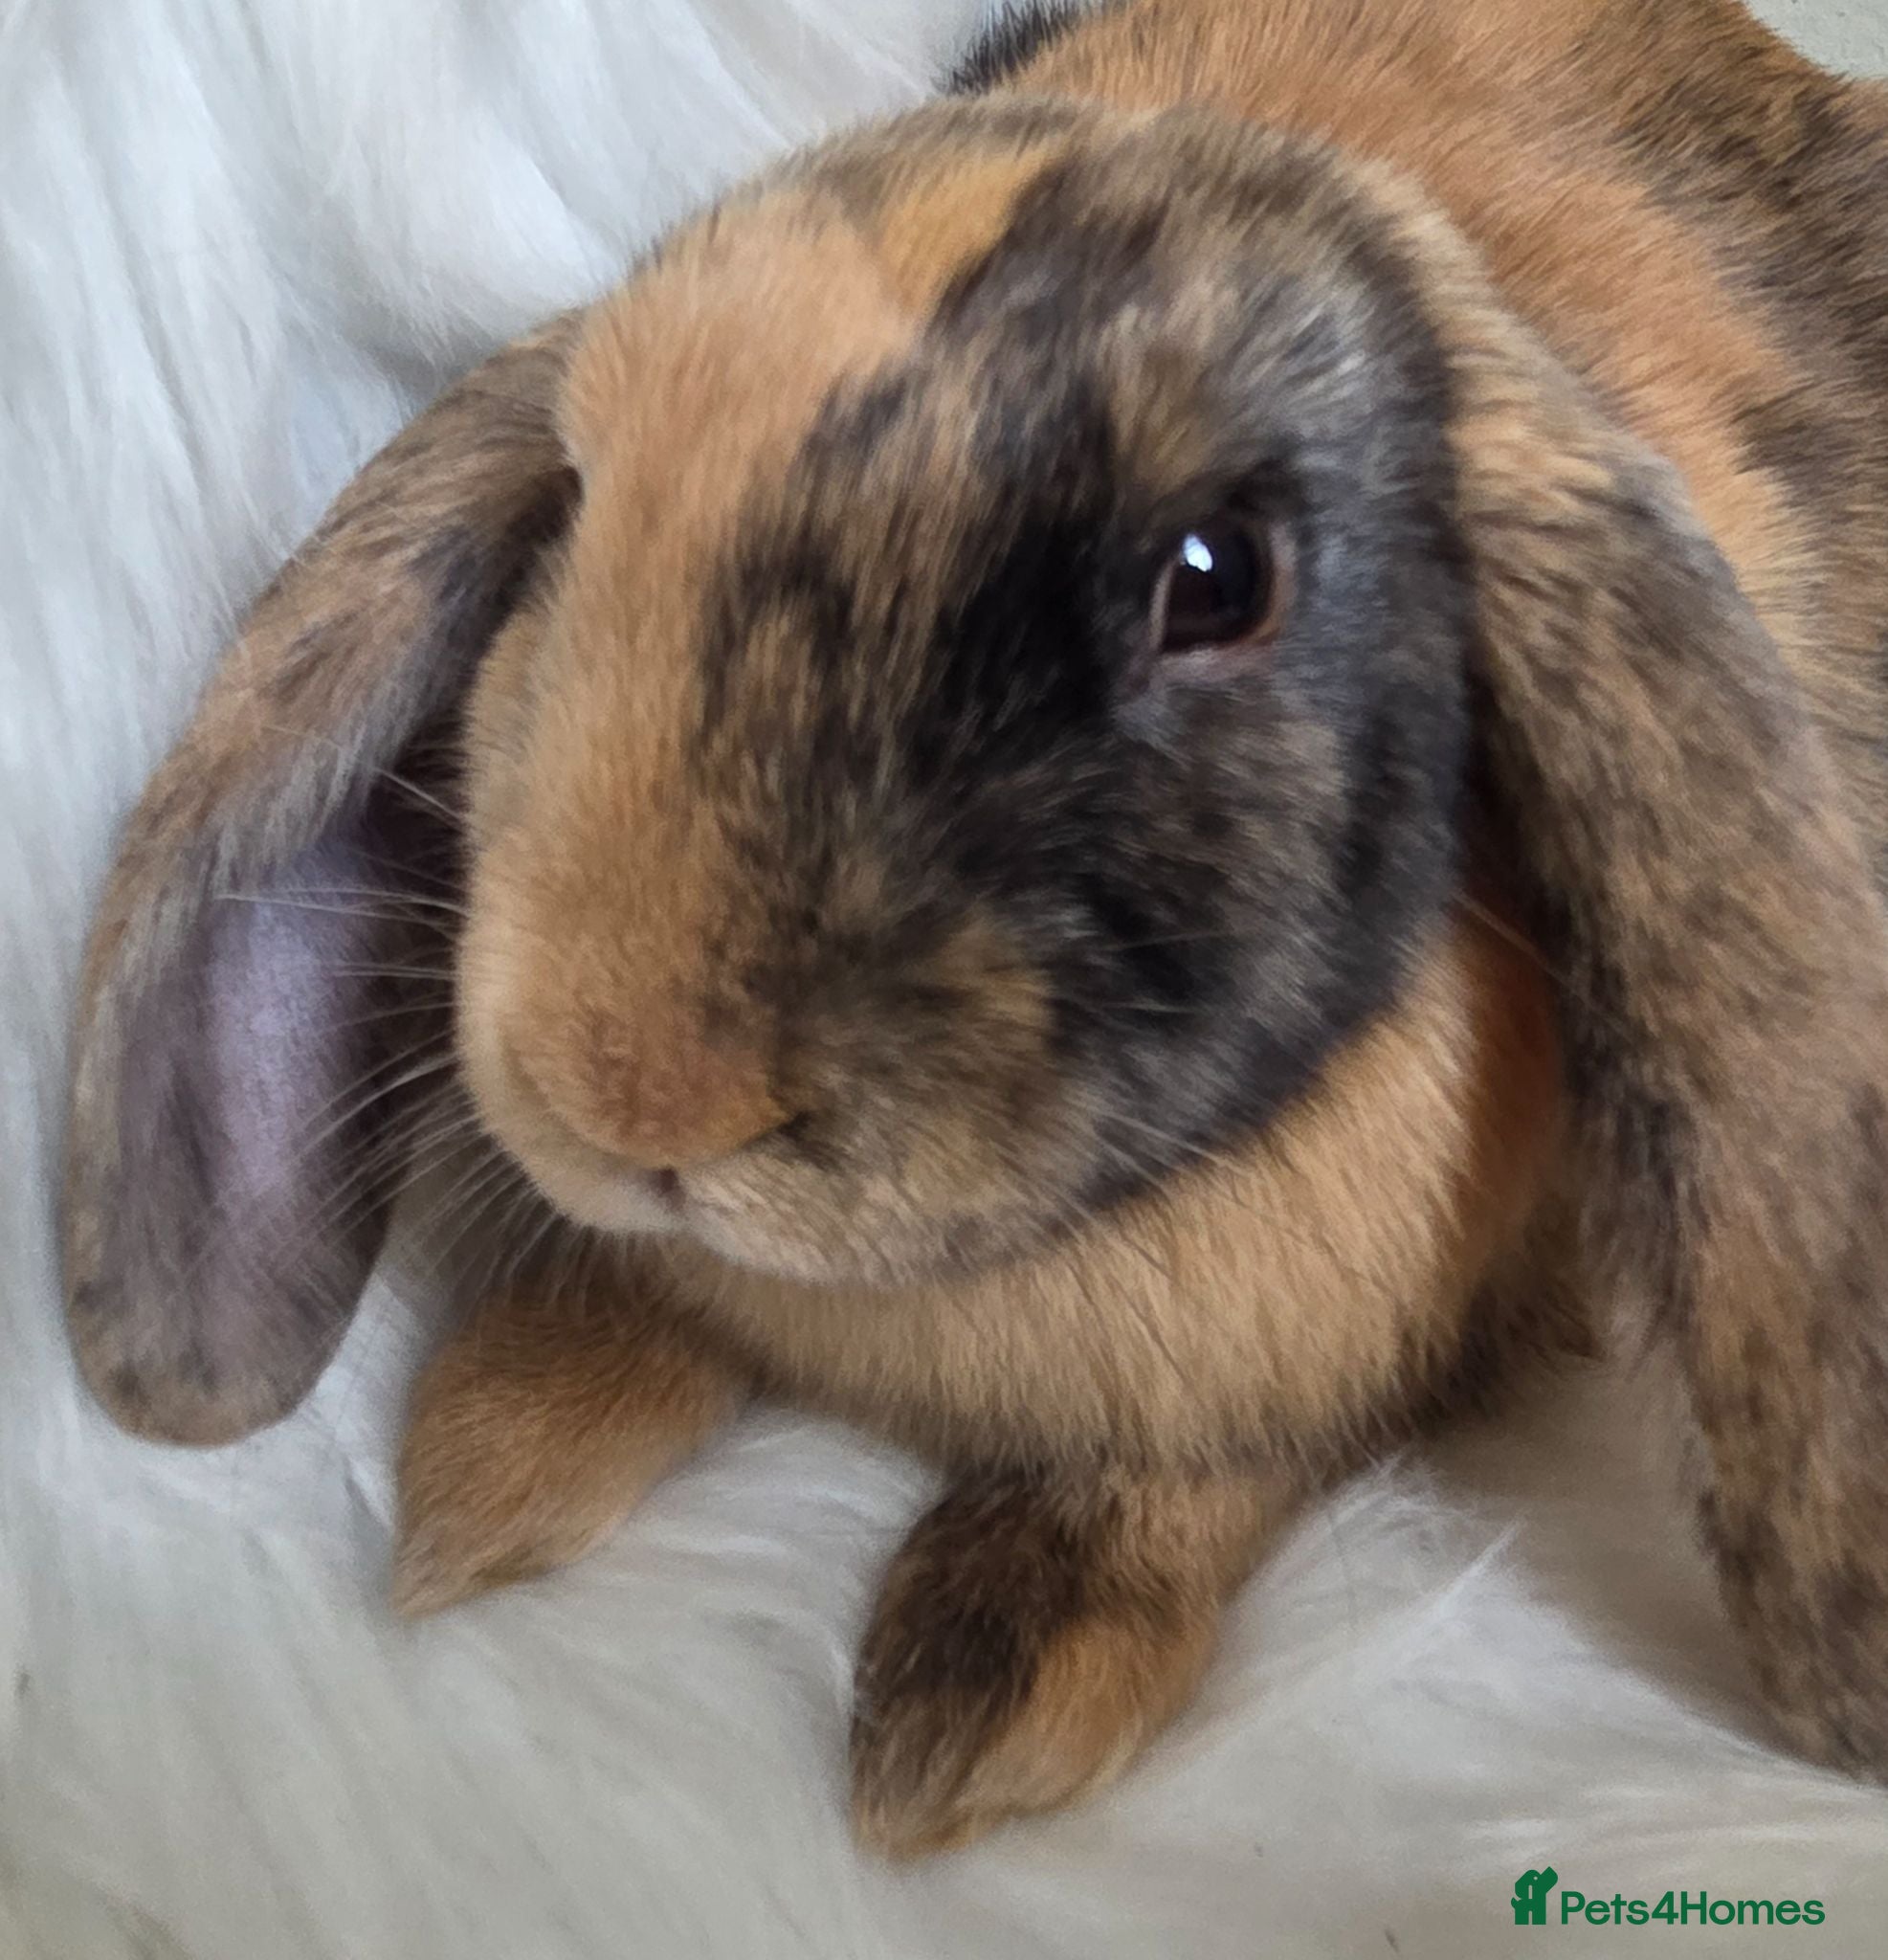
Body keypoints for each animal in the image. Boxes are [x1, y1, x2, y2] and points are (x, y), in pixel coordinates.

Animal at [63, 0, 1888, 1855]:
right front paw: (491, 1457)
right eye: (572, 495)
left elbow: (1198, 1471)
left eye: (1215, 577)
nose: (639, 1098)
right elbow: (645, 1314)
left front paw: (986, 1696)